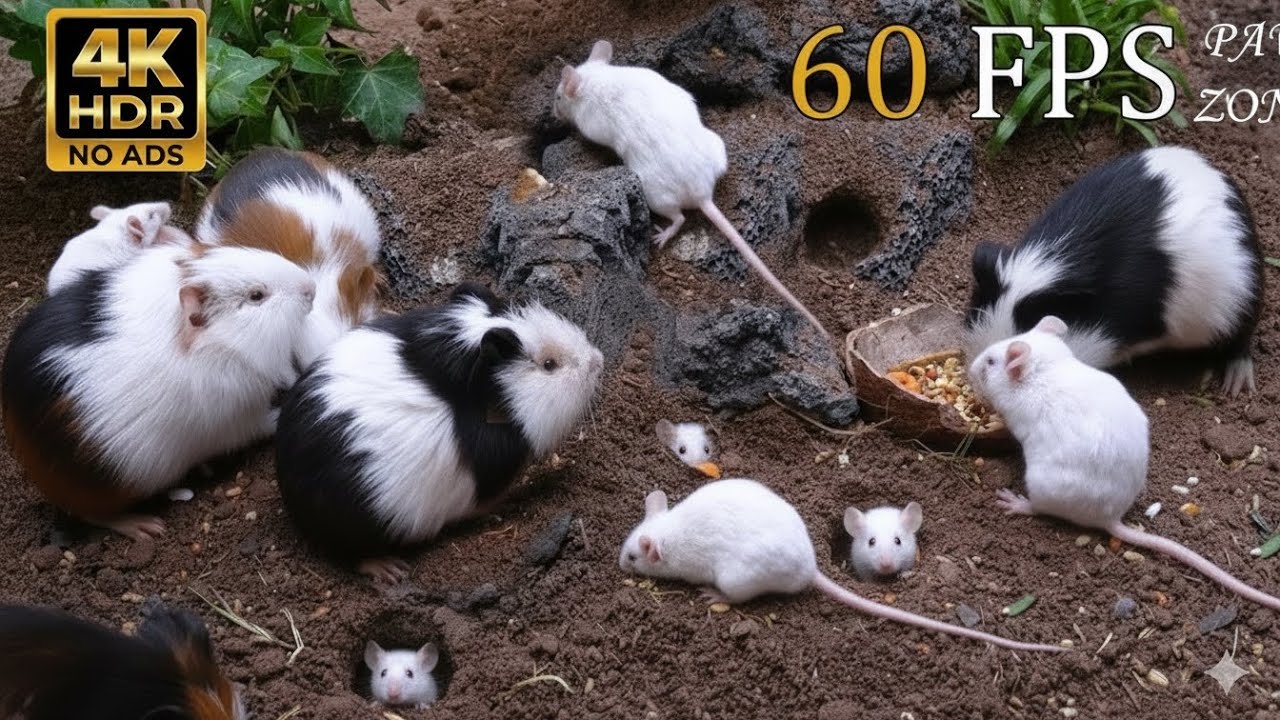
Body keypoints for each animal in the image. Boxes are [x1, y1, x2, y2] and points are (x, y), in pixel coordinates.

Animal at [2, 243, 315, 540]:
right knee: (91, 514)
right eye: (256, 296)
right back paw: (147, 527)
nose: (310, 288)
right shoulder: (240, 419)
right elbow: (264, 422)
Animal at [554, 40, 829, 339]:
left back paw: (661, 237)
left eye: (557, 96)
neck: (595, 79)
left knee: (680, 218)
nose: (553, 113)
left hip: (653, 193)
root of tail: (703, 194)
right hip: (716, 146)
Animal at [620, 479, 1066, 653]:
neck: (668, 534)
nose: (619, 563)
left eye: (632, 557)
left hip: (737, 579)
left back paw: (711, 593)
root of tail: (811, 569)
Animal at [969, 316, 1280, 612]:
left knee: (1038, 508)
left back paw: (1014, 502)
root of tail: (1111, 517)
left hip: (1040, 484)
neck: (1042, 368)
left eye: (990, 362)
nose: (970, 368)